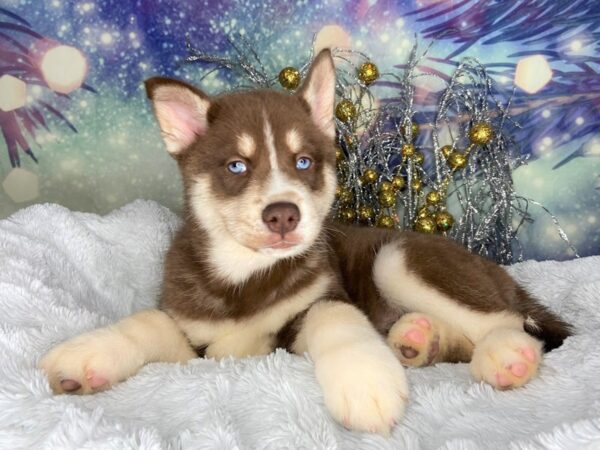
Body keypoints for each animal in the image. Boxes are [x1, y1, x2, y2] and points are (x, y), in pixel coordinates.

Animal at [39, 50, 568, 436]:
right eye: (237, 166)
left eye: (303, 162)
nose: (282, 214)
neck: (244, 275)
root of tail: (493, 268)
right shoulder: (197, 343)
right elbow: (148, 321)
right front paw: (86, 355)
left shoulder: (308, 310)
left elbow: (332, 315)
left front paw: (364, 378)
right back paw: (420, 340)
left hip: (399, 258)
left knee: (506, 320)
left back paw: (506, 356)